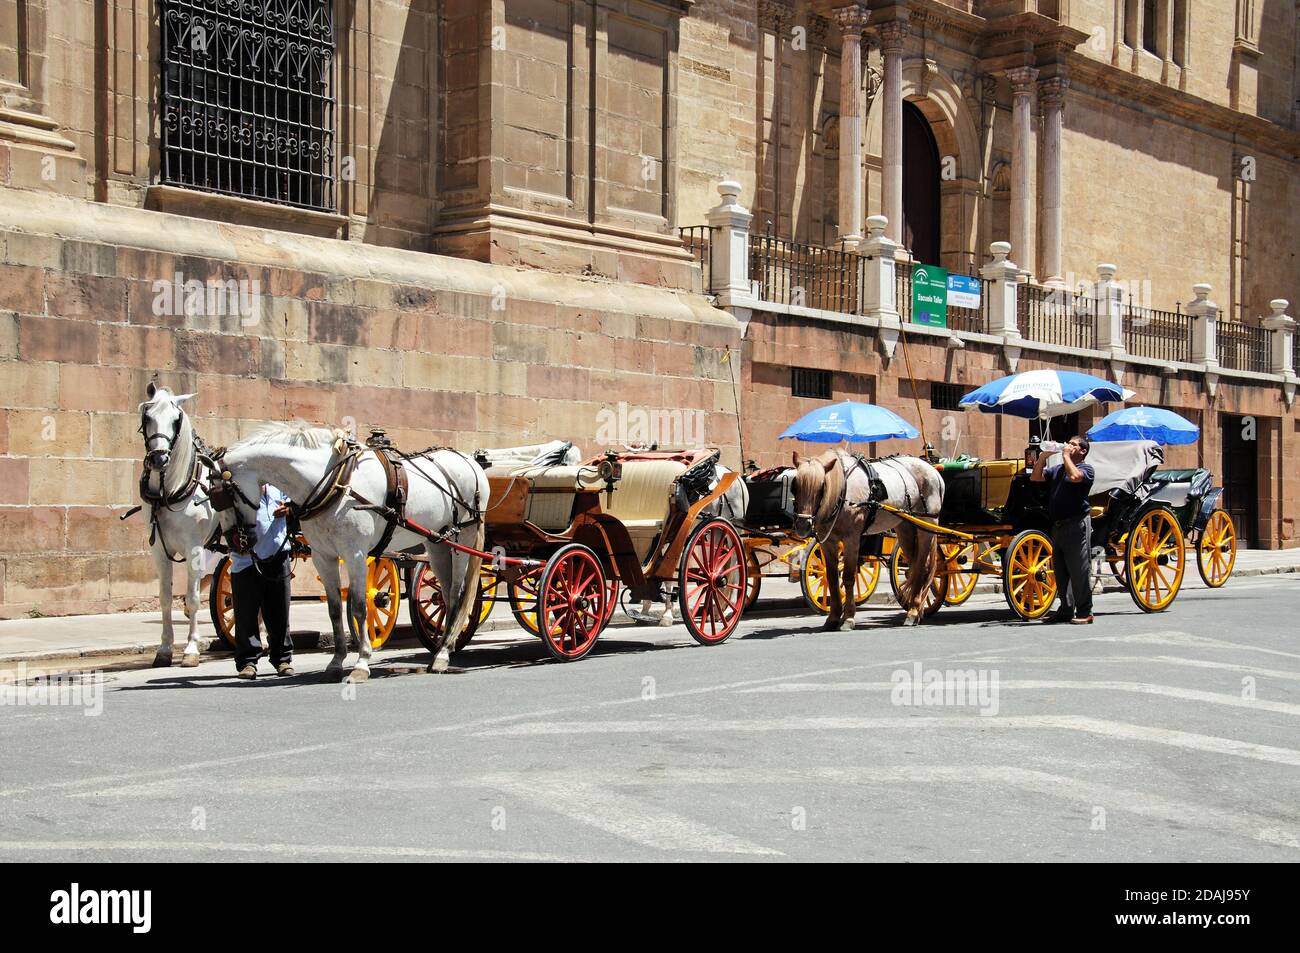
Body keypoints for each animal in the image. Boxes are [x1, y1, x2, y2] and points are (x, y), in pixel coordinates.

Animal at [136, 382, 218, 665]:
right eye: (147, 417)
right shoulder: (159, 550)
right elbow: (164, 597)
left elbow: (192, 598)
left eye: (175, 420)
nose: (159, 459)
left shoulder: (194, 548)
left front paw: (192, 648)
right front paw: (164, 649)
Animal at [214, 421, 488, 676]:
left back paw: (443, 653)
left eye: (224, 497)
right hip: (438, 541)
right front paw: (336, 661)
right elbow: (335, 609)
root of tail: (471, 462)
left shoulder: (355, 553)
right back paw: (444, 646)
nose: (234, 541)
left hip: (464, 536)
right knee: (445, 593)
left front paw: (362, 661)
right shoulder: (323, 556)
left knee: (458, 592)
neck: (333, 482)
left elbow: (358, 604)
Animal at [790, 449, 946, 629]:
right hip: (905, 527)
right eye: (795, 485)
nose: (803, 525)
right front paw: (833, 617)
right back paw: (917, 610)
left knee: (921, 567)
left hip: (926, 526)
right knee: (914, 567)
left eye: (822, 486)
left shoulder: (852, 539)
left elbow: (848, 577)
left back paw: (913, 612)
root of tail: (932, 469)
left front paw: (848, 618)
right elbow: (832, 578)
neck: (843, 491)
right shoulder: (828, 542)